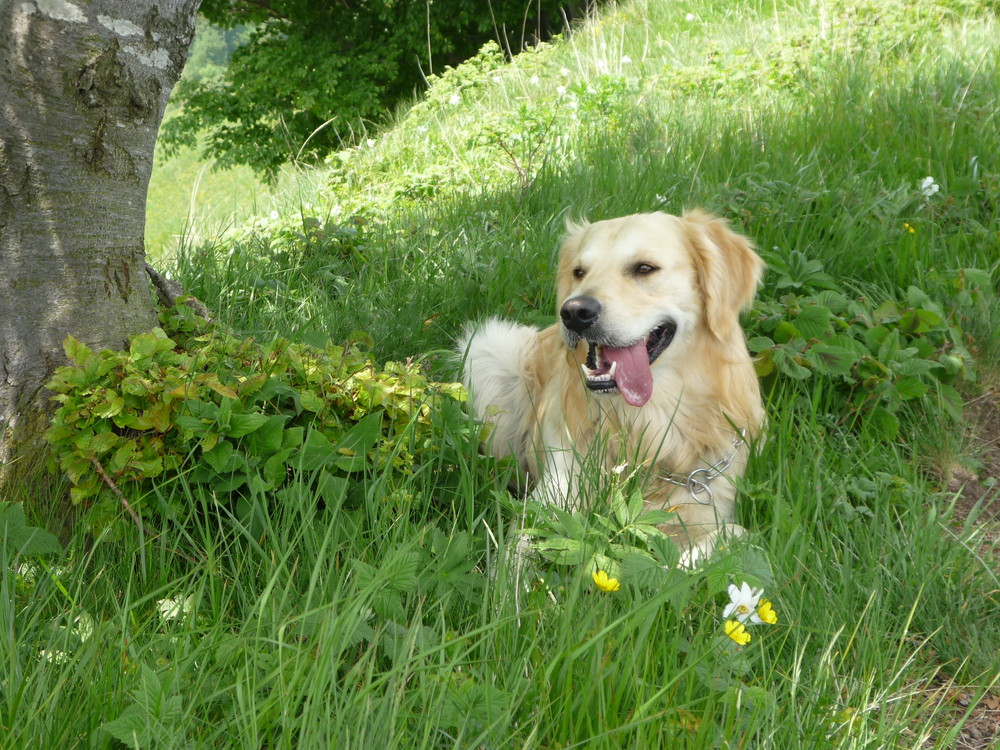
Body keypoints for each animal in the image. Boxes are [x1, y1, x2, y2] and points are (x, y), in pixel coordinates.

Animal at [460, 210, 764, 564]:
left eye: (644, 268)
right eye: (579, 272)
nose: (573, 312)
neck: (647, 418)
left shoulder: (708, 502)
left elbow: (729, 537)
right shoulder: (554, 494)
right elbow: (515, 558)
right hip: (490, 350)